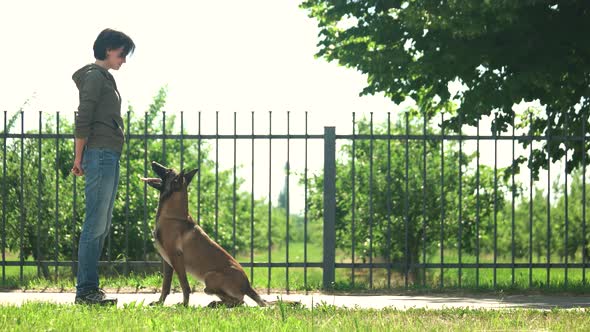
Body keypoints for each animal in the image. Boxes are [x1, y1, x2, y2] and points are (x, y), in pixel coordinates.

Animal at [141, 161, 266, 306]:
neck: (172, 216)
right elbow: (165, 285)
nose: (153, 162)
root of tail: (248, 286)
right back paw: (216, 304)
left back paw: (215, 303)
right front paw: (160, 303)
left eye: (168, 171)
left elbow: (185, 285)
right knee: (236, 300)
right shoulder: (168, 262)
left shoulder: (176, 257)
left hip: (210, 277)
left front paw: (185, 304)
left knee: (239, 301)